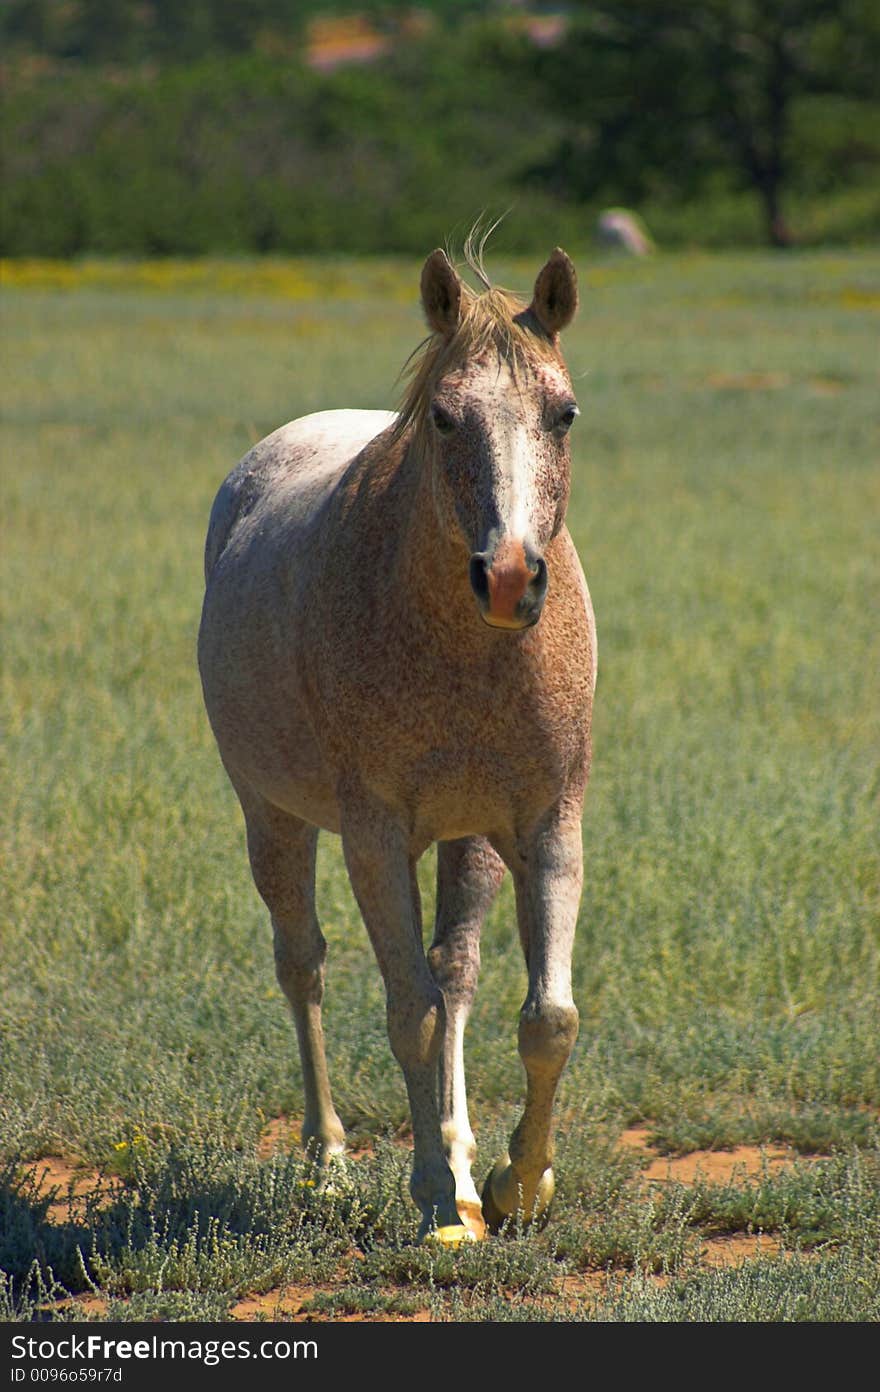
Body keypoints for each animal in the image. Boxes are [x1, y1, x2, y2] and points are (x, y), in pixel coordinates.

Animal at [199, 242, 598, 1241]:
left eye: (565, 413)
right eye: (447, 417)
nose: (510, 578)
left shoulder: (547, 825)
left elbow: (546, 1017)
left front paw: (515, 1182)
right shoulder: (373, 838)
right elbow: (407, 1011)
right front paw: (438, 1205)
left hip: (467, 840)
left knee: (455, 973)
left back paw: (461, 1160)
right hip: (273, 819)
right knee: (302, 966)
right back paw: (328, 1161)